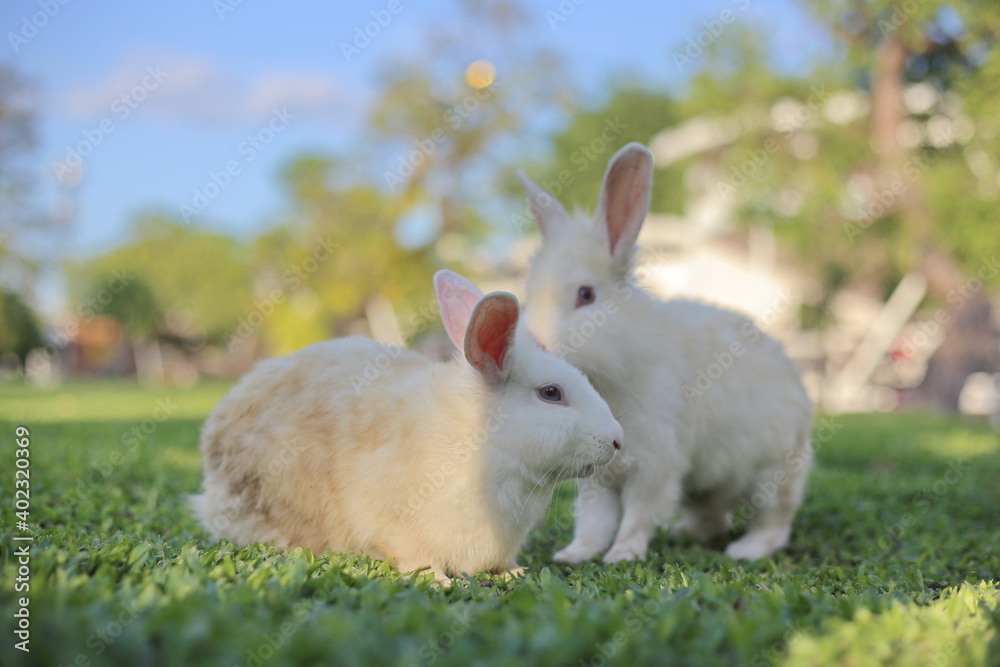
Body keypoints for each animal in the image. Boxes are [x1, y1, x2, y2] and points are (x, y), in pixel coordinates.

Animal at [190, 270, 624, 582]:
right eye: (551, 393)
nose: (618, 440)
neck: (481, 444)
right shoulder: (398, 527)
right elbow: (417, 557)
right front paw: (439, 582)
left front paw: (515, 572)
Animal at [517, 142, 813, 562]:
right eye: (529, 294)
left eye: (586, 295)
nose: (539, 343)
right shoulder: (599, 475)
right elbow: (594, 520)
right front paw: (575, 554)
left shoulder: (655, 463)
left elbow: (638, 513)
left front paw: (622, 555)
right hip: (704, 488)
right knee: (712, 518)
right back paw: (684, 533)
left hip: (772, 474)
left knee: (775, 521)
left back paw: (745, 550)